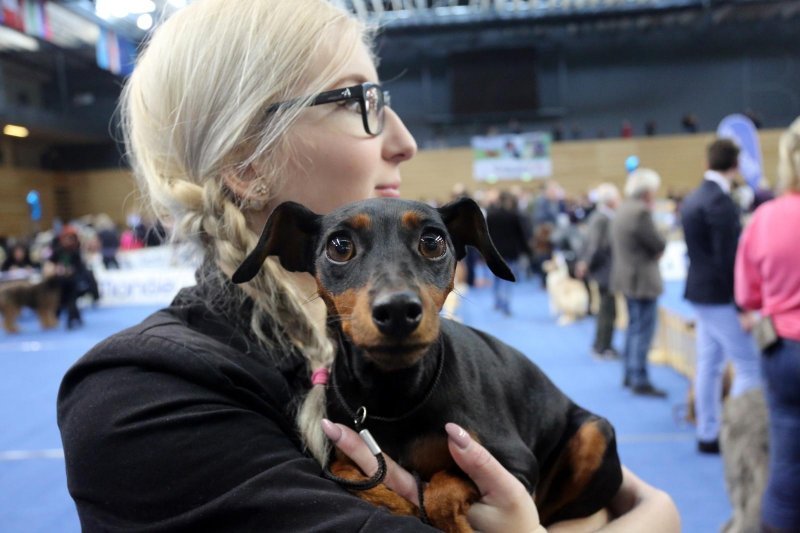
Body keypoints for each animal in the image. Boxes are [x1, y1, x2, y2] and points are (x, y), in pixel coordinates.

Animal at [234, 197, 620, 528]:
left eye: (432, 242)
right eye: (339, 246)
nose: (398, 310)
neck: (395, 392)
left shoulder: (516, 466)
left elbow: (443, 491)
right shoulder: (342, 453)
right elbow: (347, 474)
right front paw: (400, 503)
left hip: (595, 433)